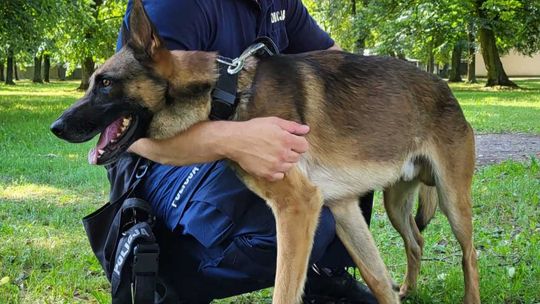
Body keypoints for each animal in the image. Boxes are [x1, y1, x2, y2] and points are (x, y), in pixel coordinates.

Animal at [51, 1, 480, 302]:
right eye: (93, 81)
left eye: (105, 83)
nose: (56, 127)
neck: (227, 93)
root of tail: (445, 88)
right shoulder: (338, 209)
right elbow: (376, 279)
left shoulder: (297, 207)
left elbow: (285, 291)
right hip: (394, 202)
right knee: (416, 241)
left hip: (453, 201)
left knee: (468, 255)